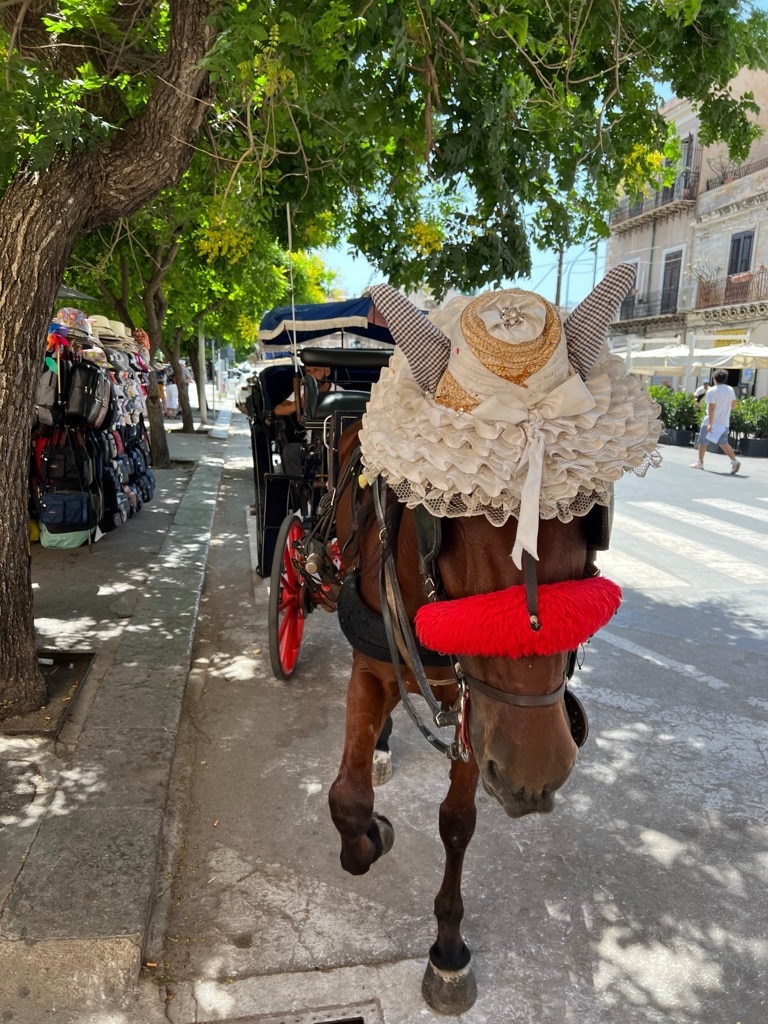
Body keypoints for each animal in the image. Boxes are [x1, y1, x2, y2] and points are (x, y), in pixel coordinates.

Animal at [327, 422, 598, 1014]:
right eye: (449, 511)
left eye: (593, 516)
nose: (535, 772)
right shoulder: (370, 668)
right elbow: (348, 801)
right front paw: (374, 833)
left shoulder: (477, 713)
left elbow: (456, 823)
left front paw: (448, 950)